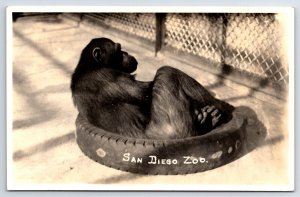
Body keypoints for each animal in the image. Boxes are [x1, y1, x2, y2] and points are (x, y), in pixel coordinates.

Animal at [71, 37, 234, 139]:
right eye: (118, 50)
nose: (126, 52)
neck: (89, 65)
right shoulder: (106, 75)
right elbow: (145, 91)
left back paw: (210, 117)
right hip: (174, 127)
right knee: (165, 72)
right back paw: (219, 110)